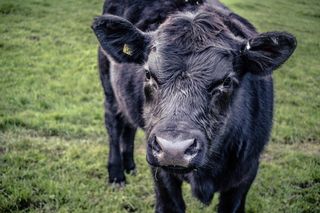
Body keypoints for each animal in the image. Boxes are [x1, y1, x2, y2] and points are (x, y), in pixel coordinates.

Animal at [91, 0, 296, 212]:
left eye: (226, 81)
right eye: (148, 74)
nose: (173, 150)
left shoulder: (247, 171)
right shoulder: (162, 176)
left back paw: (130, 166)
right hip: (109, 90)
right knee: (114, 126)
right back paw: (117, 175)